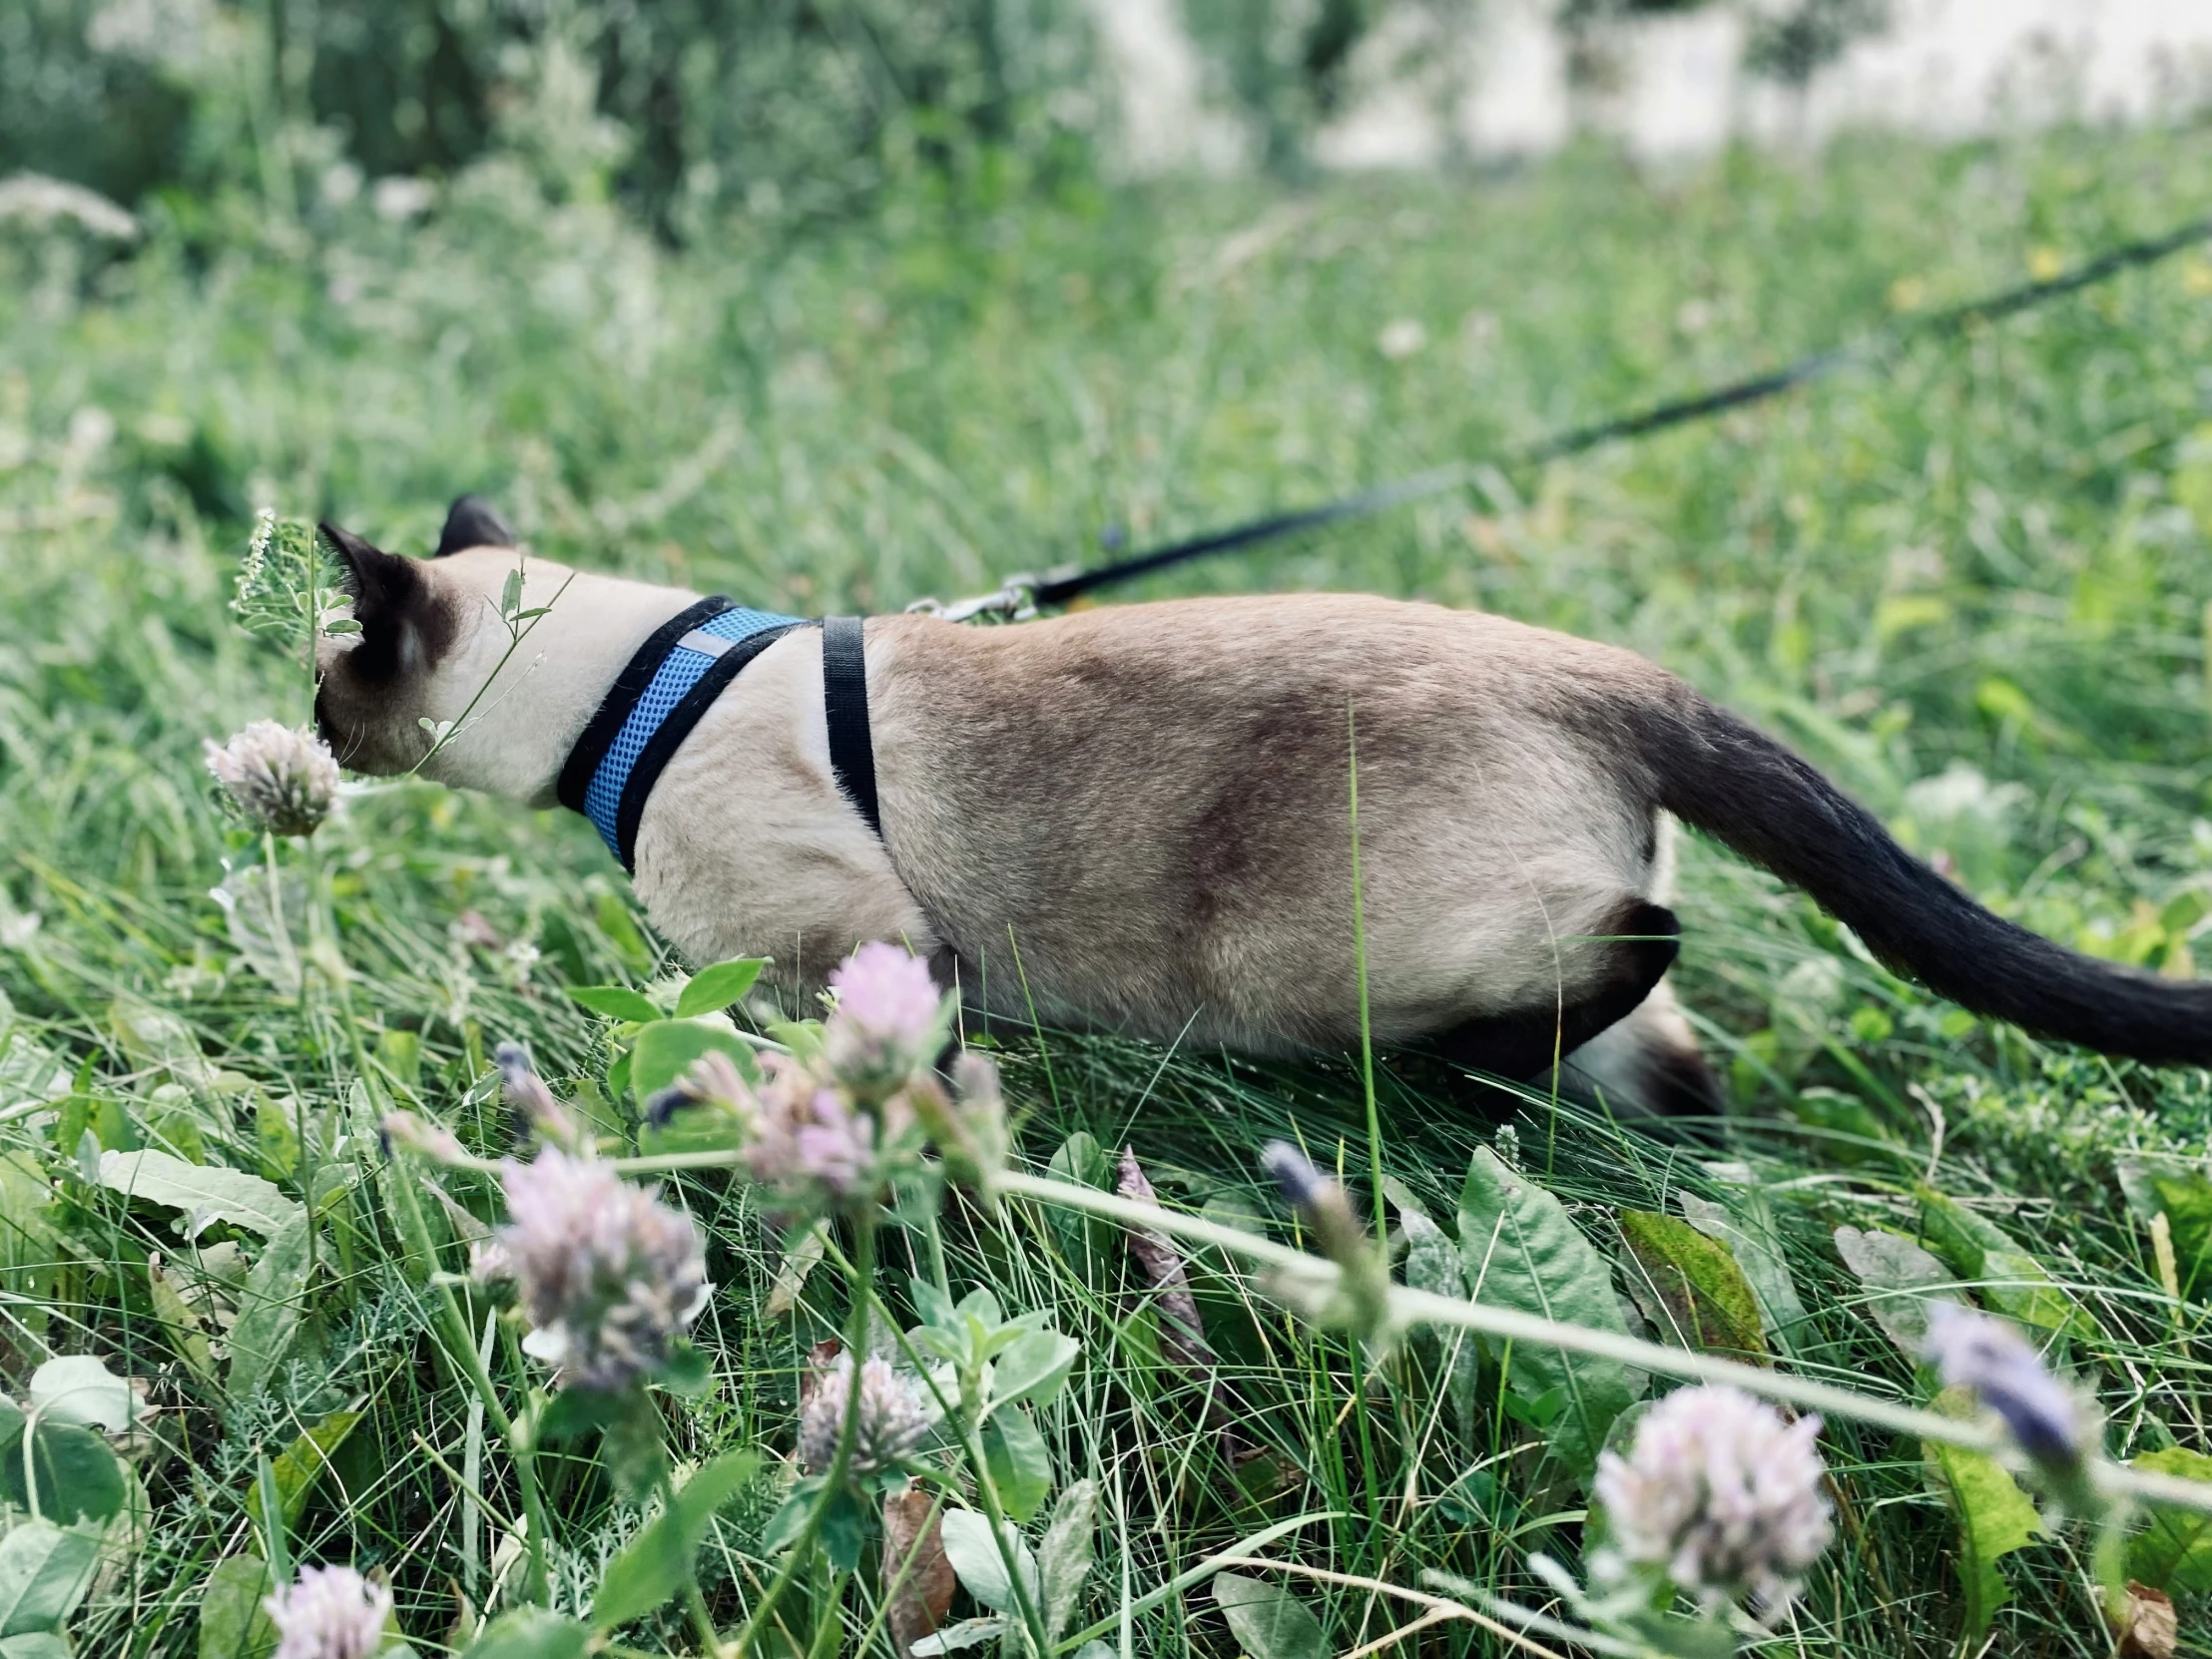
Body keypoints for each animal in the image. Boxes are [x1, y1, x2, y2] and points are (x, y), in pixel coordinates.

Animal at [311, 499, 2212, 1110]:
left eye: (335, 675)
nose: (312, 733)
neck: (644, 681)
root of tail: (1611, 673)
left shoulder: (852, 948)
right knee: (1669, 1055)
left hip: (1321, 959)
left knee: (1630, 948)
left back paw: (1449, 1081)